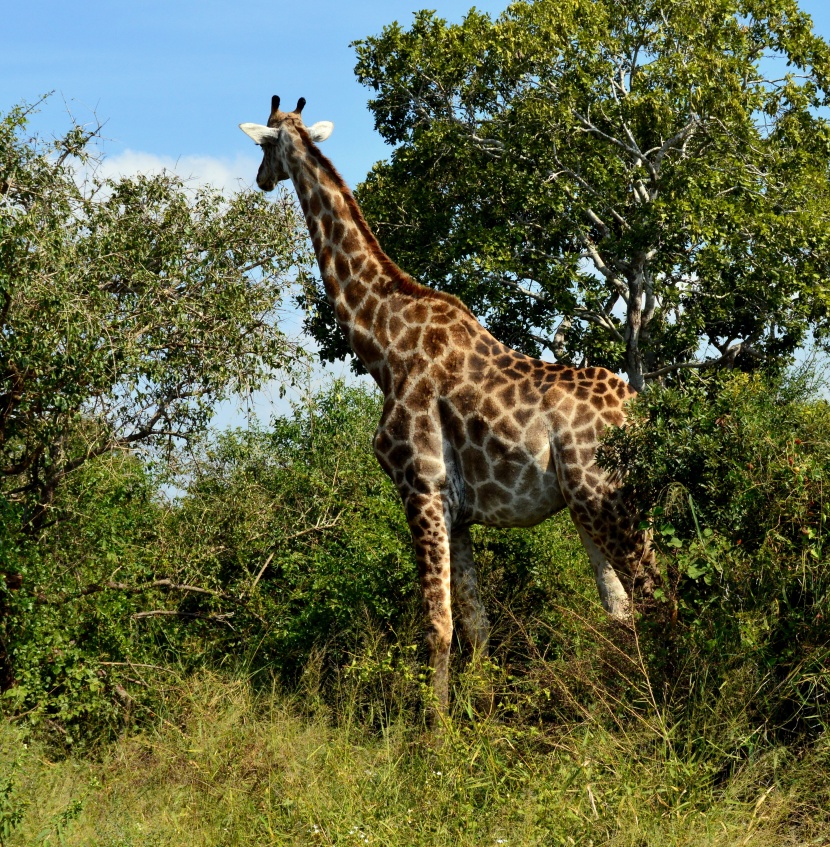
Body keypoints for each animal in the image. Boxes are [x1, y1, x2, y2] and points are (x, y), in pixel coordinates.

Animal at [239, 96, 656, 712]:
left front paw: (433, 730)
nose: (262, 180)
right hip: (592, 506)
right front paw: (479, 715)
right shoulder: (457, 511)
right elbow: (477, 625)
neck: (383, 344)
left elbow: (436, 626)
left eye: (264, 145)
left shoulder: (422, 487)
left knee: (654, 596)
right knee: (624, 608)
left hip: (608, 497)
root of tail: (640, 414)